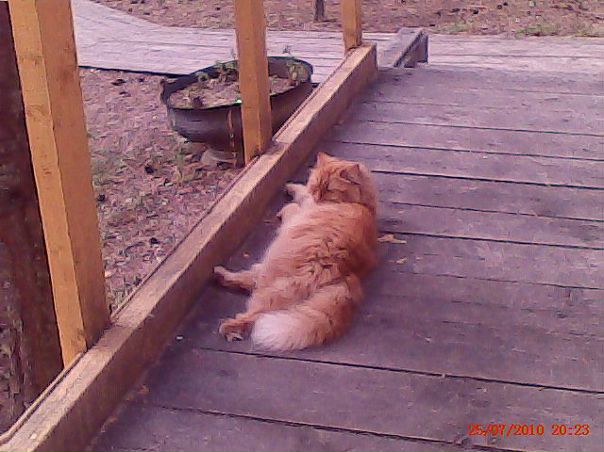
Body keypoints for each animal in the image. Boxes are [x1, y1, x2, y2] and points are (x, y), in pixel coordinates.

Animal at [214, 152, 378, 351]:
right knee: (251, 283)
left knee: (252, 310)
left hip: (275, 280)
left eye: (329, 189)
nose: (317, 197)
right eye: (316, 185)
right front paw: (292, 187)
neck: (363, 204)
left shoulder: (301, 212)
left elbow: (292, 207)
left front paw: (285, 207)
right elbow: (301, 193)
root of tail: (345, 277)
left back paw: (228, 320)